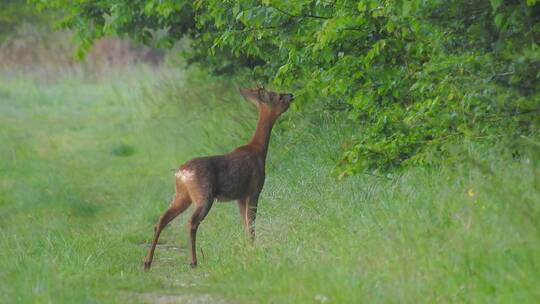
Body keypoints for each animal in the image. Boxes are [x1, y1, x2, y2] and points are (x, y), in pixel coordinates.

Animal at [142, 85, 296, 268]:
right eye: (278, 96)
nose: (291, 95)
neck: (258, 151)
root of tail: (181, 173)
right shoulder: (254, 190)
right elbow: (251, 224)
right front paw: (253, 249)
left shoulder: (240, 197)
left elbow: (245, 224)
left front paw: (248, 248)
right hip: (204, 194)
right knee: (192, 222)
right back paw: (193, 262)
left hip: (182, 195)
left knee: (162, 219)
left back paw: (147, 262)